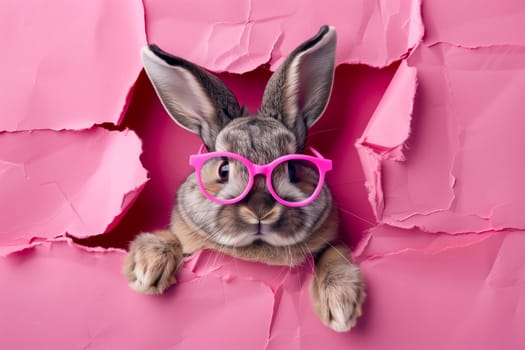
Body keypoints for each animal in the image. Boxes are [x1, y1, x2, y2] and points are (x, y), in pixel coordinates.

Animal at [125, 26, 366, 332]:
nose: (260, 209)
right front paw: (147, 269)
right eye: (223, 170)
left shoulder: (332, 245)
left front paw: (341, 307)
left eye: (293, 169)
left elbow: (335, 255)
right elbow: (169, 239)